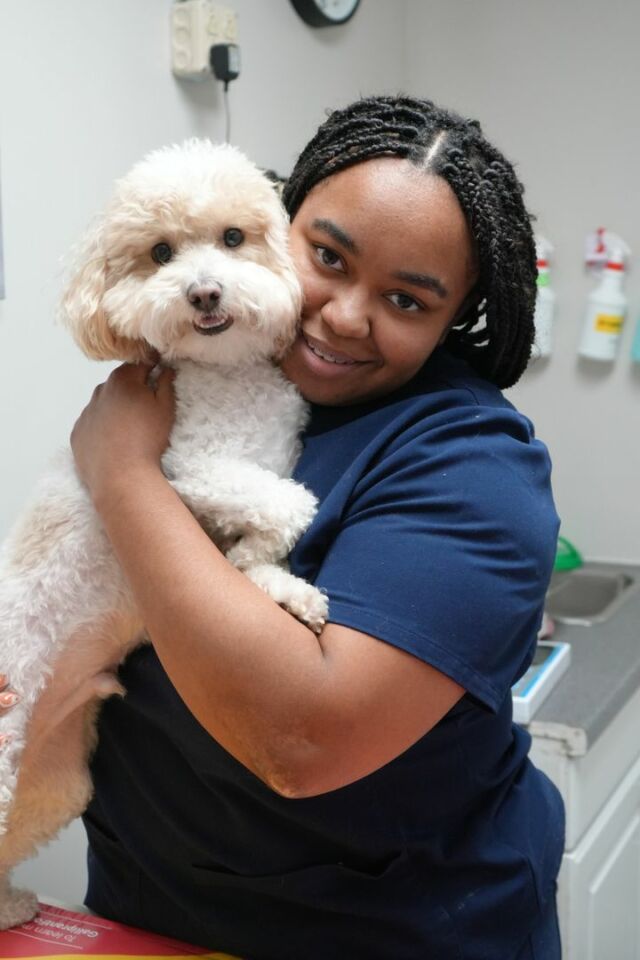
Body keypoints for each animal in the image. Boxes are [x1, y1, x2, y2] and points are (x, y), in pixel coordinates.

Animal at [0, 139, 328, 928]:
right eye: (160, 253)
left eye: (234, 238)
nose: (204, 294)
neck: (231, 378)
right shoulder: (188, 473)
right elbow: (287, 504)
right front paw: (261, 562)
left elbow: (274, 525)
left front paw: (279, 586)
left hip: (54, 779)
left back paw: (8, 906)